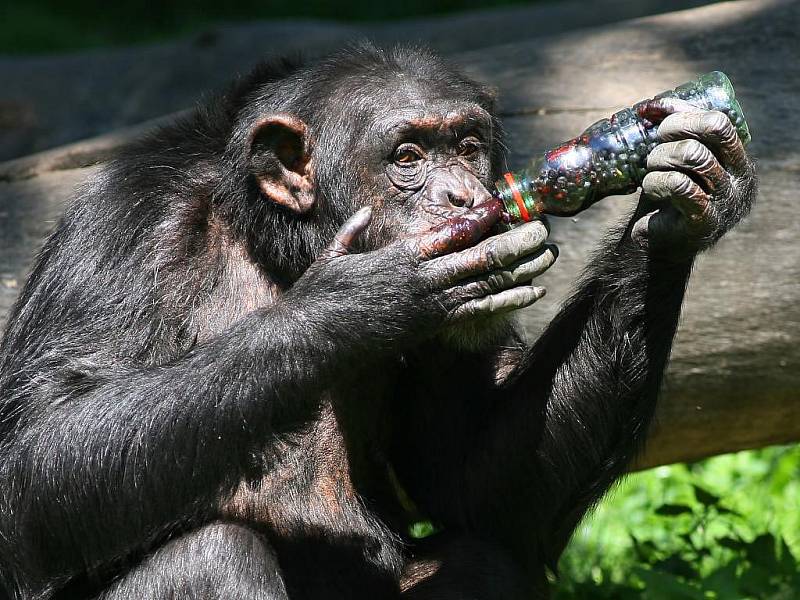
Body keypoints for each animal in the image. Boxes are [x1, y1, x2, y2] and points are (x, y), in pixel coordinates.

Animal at [0, 43, 756, 600]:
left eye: (468, 145)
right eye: (408, 157)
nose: (465, 195)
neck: (271, 240)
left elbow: (472, 481)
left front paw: (683, 195)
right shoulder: (119, 232)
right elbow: (33, 459)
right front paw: (360, 302)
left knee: (480, 561)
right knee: (204, 555)